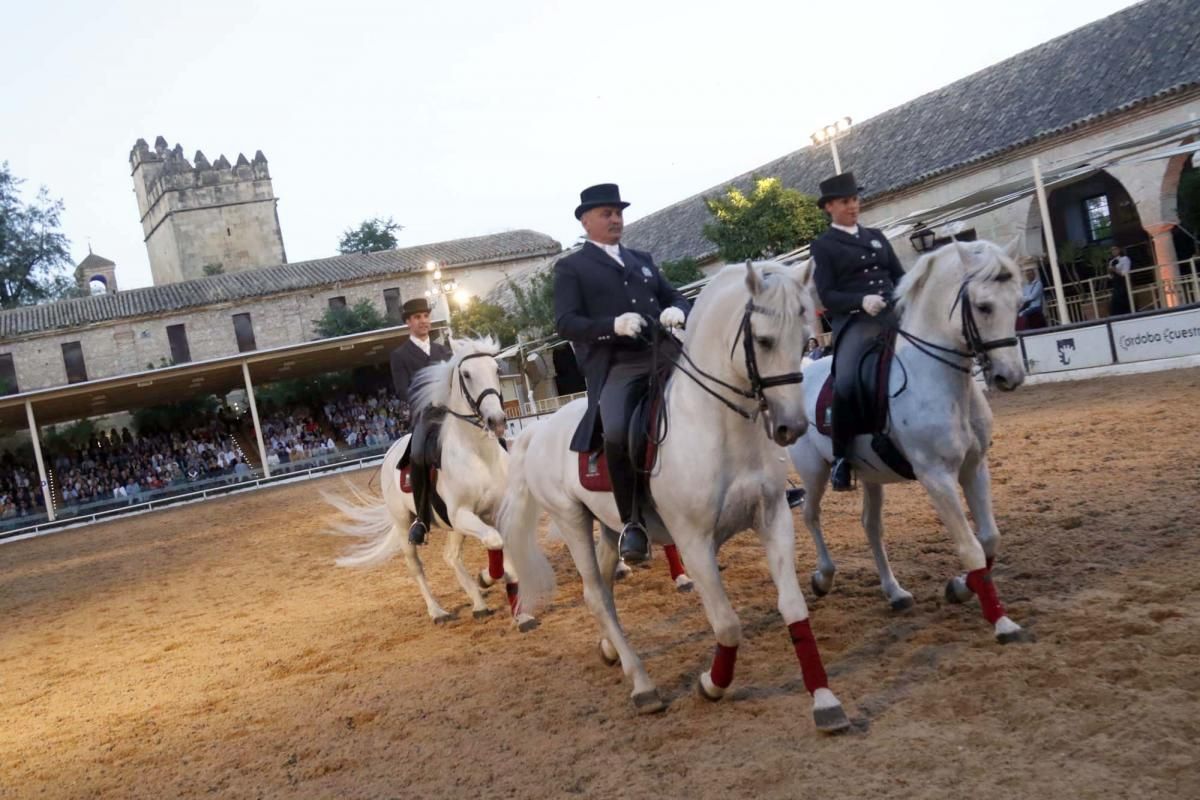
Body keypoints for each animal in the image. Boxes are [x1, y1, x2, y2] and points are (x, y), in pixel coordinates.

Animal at [328, 335, 535, 628]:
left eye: (496, 370)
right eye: (467, 374)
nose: (496, 419)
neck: (478, 455)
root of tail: (392, 452)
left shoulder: (491, 512)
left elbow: (502, 546)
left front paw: (520, 611)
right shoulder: (462, 514)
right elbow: (494, 542)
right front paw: (488, 577)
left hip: (453, 526)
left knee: (451, 557)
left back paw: (478, 602)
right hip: (405, 525)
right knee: (417, 567)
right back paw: (438, 611)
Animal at [501, 261, 849, 734]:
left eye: (804, 333)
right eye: (762, 340)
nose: (790, 427)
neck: (717, 425)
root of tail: (538, 429)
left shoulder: (773, 517)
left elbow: (794, 608)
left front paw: (825, 700)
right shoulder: (694, 541)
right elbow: (727, 625)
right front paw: (712, 684)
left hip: (609, 525)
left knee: (605, 589)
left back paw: (611, 650)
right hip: (572, 521)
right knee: (595, 595)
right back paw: (643, 684)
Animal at [787, 237, 1032, 642]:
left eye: (1019, 302)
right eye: (984, 306)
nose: (1009, 377)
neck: (936, 377)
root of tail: (805, 369)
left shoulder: (974, 467)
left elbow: (989, 537)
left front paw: (960, 587)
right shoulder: (936, 477)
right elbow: (969, 546)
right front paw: (1001, 621)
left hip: (870, 476)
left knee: (871, 527)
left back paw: (894, 592)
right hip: (814, 472)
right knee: (811, 516)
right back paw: (823, 577)